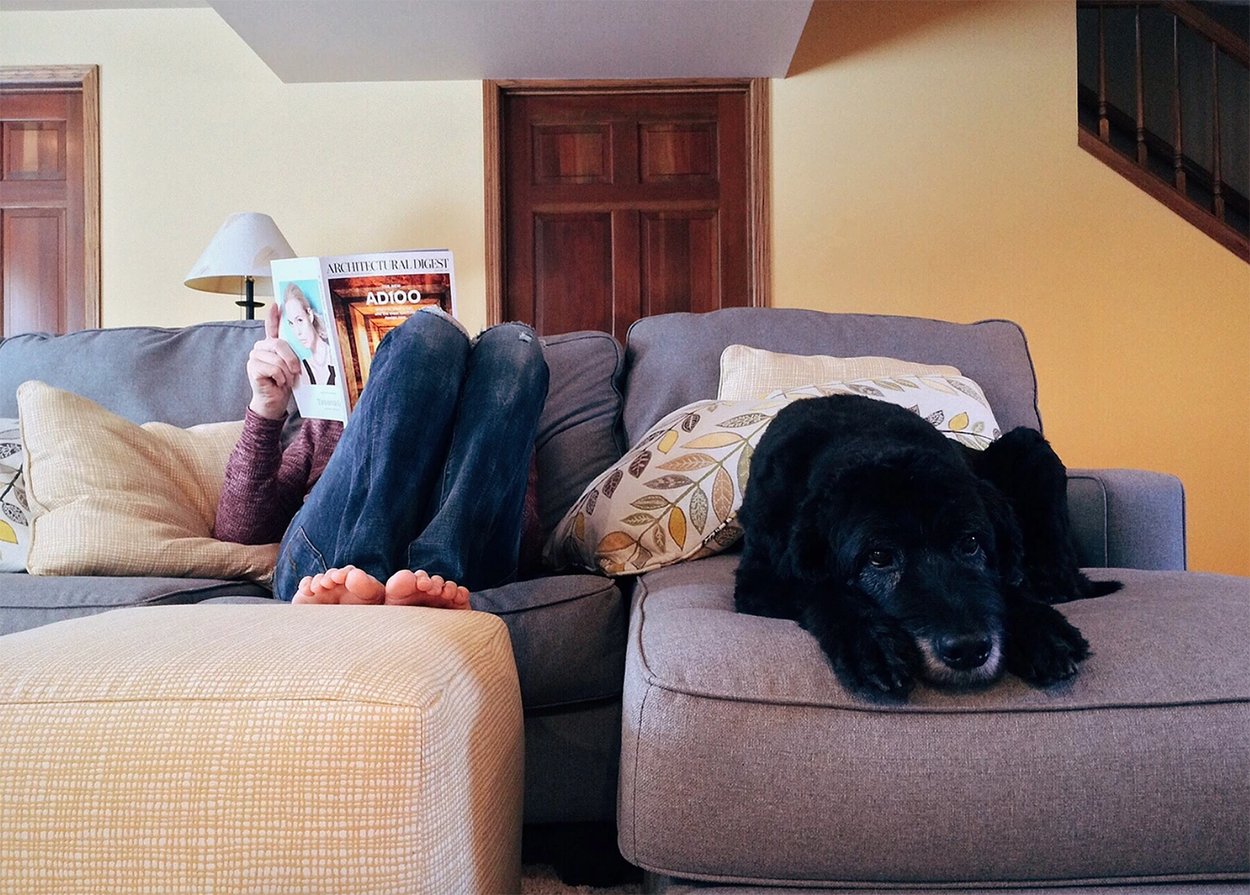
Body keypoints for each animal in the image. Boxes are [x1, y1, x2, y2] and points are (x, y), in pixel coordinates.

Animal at [733, 394, 1121, 701]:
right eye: (878, 556)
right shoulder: (758, 582)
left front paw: (1042, 629)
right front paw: (871, 642)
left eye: (971, 542)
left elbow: (1003, 586)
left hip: (1030, 446)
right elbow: (818, 587)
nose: (968, 649)